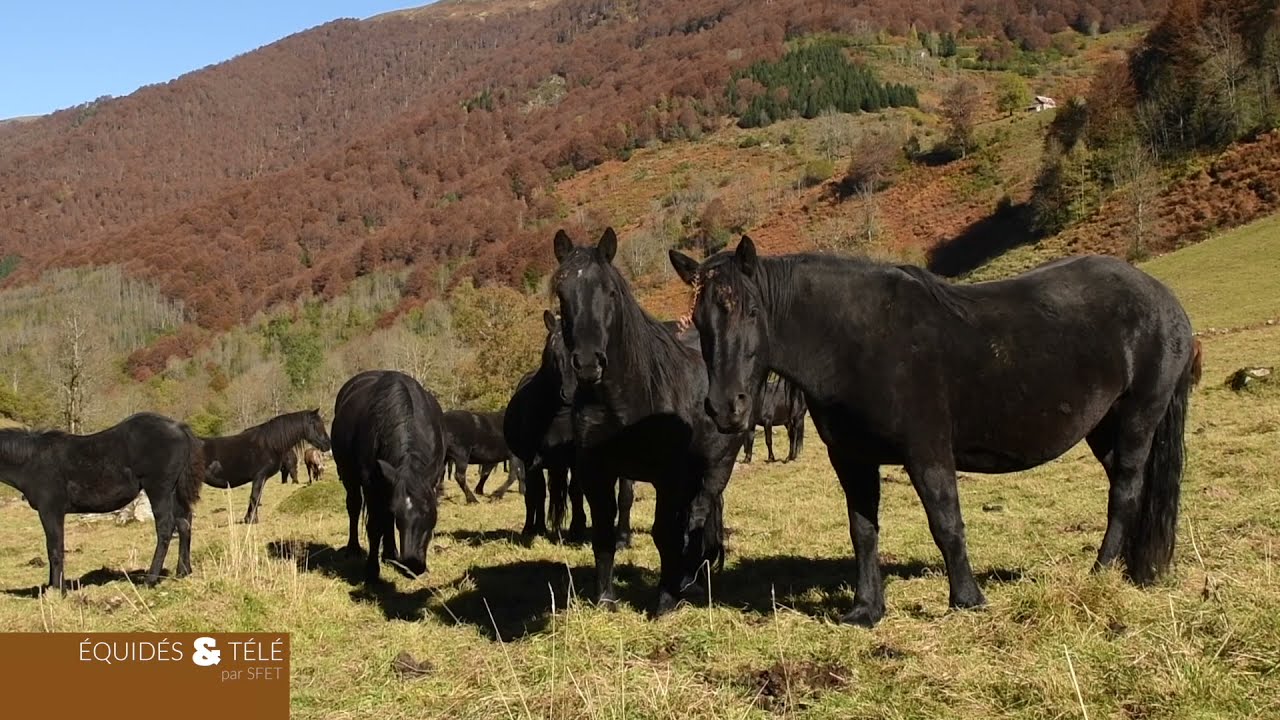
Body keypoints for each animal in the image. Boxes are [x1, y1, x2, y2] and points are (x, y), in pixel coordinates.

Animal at [0, 413, 206, 589]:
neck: (33, 461)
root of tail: (178, 427)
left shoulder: (50, 510)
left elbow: (54, 548)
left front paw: (58, 590)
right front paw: (52, 586)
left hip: (159, 490)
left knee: (166, 528)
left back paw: (150, 580)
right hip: (175, 491)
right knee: (185, 522)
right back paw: (183, 572)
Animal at [202, 409, 331, 524]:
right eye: (316, 425)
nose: (327, 444)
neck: (269, 444)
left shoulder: (262, 479)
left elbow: (256, 497)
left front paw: (248, 519)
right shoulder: (259, 477)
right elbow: (255, 496)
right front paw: (252, 520)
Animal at [332, 370, 446, 583]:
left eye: (430, 512)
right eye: (399, 515)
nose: (413, 564)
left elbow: (385, 520)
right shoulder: (371, 484)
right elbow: (375, 526)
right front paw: (371, 571)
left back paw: (390, 554)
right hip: (349, 477)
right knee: (354, 506)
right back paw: (354, 548)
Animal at [553, 227, 743, 615]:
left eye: (610, 292)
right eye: (562, 293)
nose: (588, 363)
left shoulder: (667, 476)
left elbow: (664, 533)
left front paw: (665, 602)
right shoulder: (597, 473)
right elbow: (604, 534)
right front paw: (606, 600)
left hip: (717, 468)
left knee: (699, 515)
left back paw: (690, 581)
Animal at [670, 237, 1200, 626]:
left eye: (751, 311)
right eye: (699, 320)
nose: (725, 408)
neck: (856, 341)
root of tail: (1164, 300)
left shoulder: (926, 451)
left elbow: (946, 523)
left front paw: (967, 599)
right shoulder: (852, 459)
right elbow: (863, 531)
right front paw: (866, 610)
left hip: (1138, 418)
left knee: (1125, 493)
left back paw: (1101, 571)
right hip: (1104, 429)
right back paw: (1131, 568)